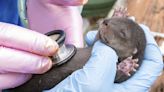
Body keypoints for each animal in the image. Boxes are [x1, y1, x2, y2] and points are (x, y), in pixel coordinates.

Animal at [8, 17, 146, 91]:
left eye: (123, 33)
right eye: (116, 20)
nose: (106, 21)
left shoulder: (120, 79)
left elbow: (116, 77)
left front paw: (126, 66)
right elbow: (96, 38)